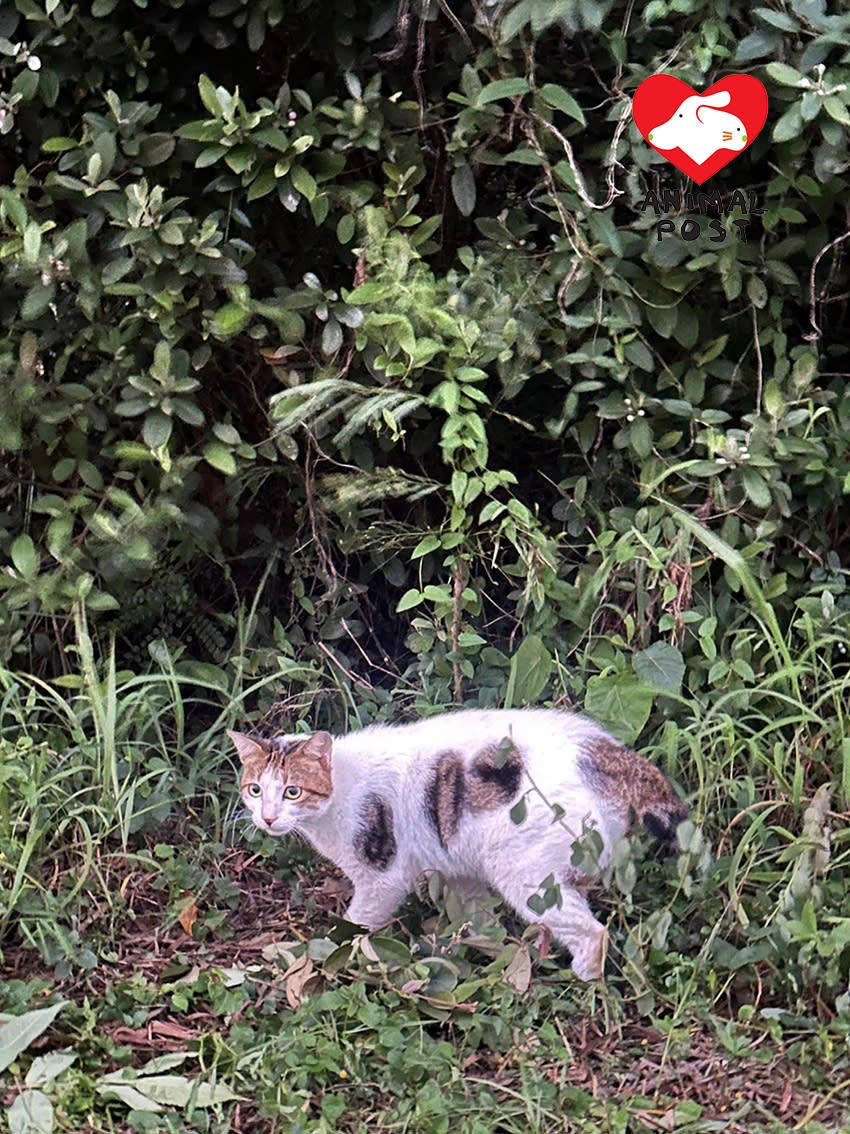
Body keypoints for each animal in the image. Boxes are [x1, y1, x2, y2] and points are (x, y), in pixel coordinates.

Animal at [227, 712, 693, 979]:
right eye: (255, 790)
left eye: (292, 791)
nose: (267, 818)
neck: (340, 785)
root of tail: (603, 751)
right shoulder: (460, 869)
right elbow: (479, 919)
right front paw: (480, 948)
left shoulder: (382, 878)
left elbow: (354, 929)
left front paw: (326, 961)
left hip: (525, 874)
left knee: (594, 933)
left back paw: (581, 982)